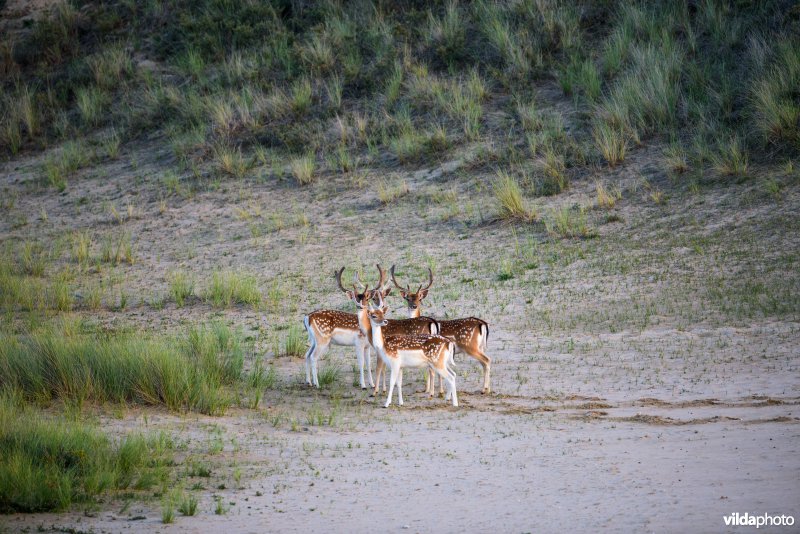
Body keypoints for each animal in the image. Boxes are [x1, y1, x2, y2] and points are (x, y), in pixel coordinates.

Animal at [386, 266, 490, 396]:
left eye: (420, 298)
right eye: (408, 298)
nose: (414, 306)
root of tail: (482, 323)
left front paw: (432, 390)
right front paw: (436, 390)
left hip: (470, 346)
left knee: (486, 360)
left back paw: (484, 390)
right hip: (480, 346)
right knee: (484, 362)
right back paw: (487, 389)